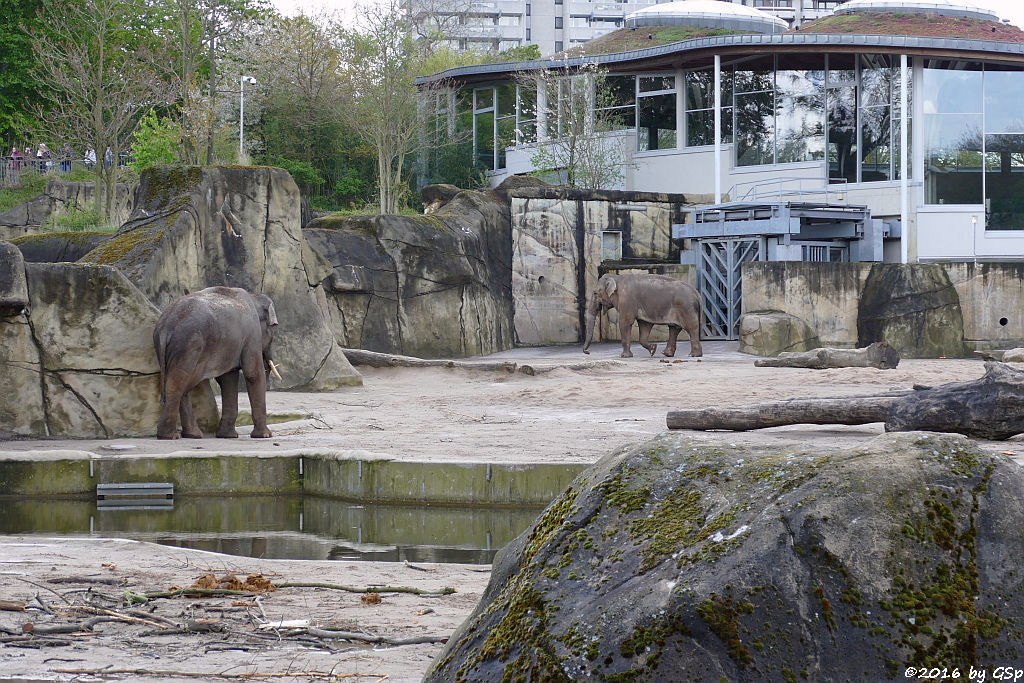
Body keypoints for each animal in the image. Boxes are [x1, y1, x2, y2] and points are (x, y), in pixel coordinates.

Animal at [151, 286, 282, 440]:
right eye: (273, 328)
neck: (253, 296)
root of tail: (166, 326)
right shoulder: (252, 335)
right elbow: (253, 374)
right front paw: (265, 435)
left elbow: (228, 378)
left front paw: (227, 436)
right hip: (189, 345)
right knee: (178, 383)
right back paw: (170, 436)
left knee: (182, 384)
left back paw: (192, 434)